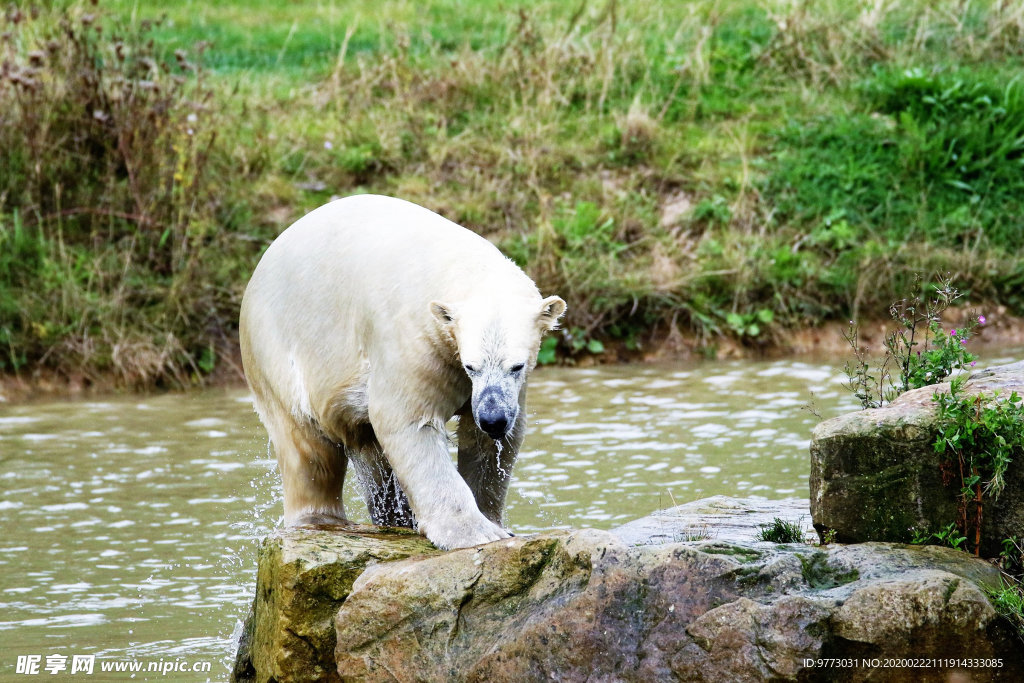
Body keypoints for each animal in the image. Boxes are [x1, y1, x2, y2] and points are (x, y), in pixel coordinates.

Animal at [240, 193, 569, 548]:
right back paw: (321, 520)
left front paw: (496, 522)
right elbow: (408, 422)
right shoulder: (410, 341)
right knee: (307, 446)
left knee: (370, 454)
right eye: (471, 366)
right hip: (276, 350)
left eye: (517, 366)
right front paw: (474, 532)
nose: (493, 419)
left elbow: (490, 443)